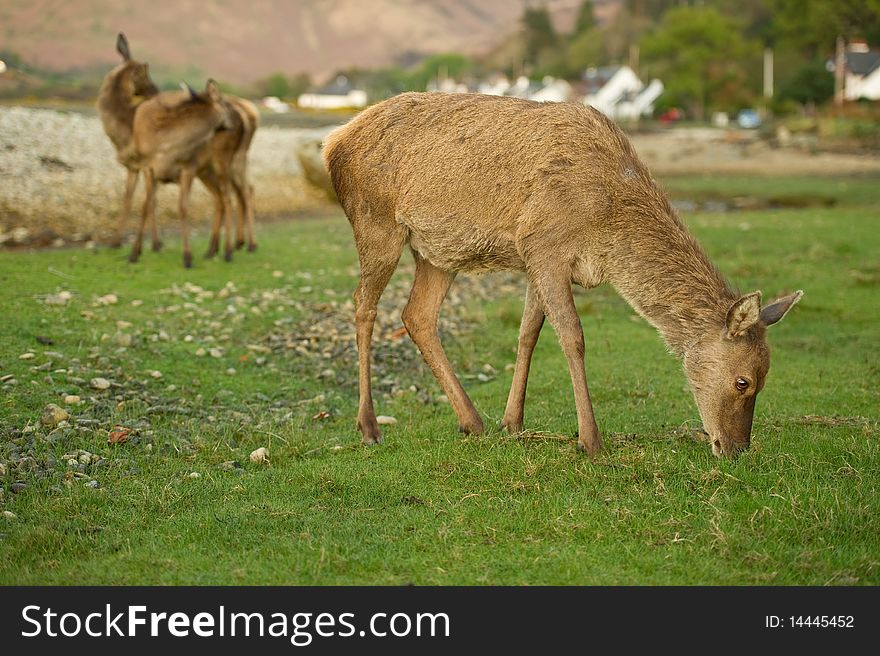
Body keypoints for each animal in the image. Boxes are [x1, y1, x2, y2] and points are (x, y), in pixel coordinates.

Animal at [324, 93, 804, 456]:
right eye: (743, 381)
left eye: (766, 377)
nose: (737, 449)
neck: (608, 228)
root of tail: (333, 140)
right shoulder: (547, 245)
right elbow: (572, 336)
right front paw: (590, 440)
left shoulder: (536, 257)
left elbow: (528, 333)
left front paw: (513, 423)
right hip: (376, 222)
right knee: (363, 306)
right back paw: (369, 427)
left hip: (438, 251)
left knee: (417, 315)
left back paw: (472, 421)